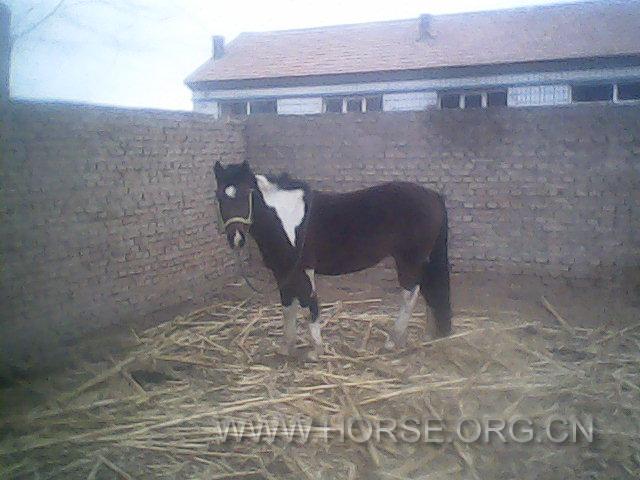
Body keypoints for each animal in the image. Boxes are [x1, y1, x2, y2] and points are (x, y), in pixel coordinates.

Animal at [214, 160, 452, 360]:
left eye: (246, 194)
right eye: (219, 197)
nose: (236, 238)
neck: (287, 219)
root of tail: (434, 196)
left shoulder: (303, 270)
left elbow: (309, 304)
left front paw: (316, 350)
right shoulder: (282, 272)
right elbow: (287, 307)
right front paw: (285, 347)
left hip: (408, 260)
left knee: (410, 295)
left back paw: (392, 341)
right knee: (428, 292)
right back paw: (427, 335)